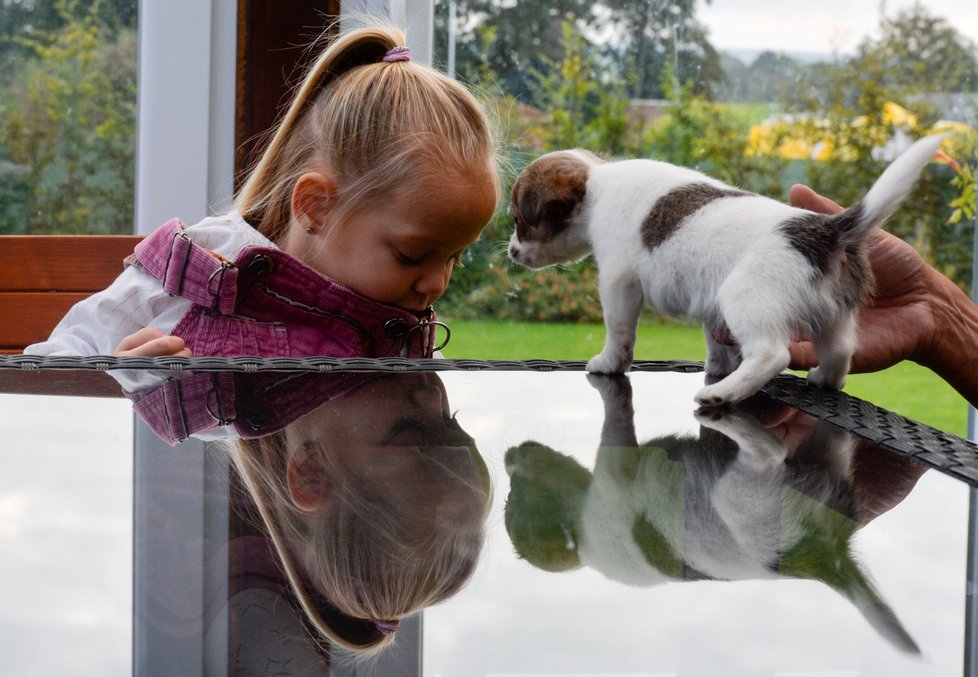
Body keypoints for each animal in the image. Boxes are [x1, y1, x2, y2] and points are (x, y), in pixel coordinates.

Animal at [510, 135, 944, 404]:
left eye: (520, 220)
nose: (511, 253)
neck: (598, 185)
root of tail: (827, 231)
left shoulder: (619, 283)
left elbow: (619, 335)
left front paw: (608, 364)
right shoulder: (709, 305)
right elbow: (715, 342)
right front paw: (717, 367)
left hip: (745, 298)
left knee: (772, 355)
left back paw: (723, 394)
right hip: (833, 315)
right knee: (840, 352)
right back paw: (822, 379)